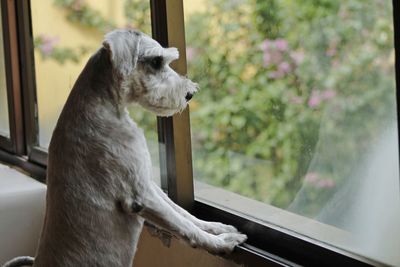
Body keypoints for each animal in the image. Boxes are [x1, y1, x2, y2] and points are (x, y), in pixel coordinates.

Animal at [2, 29, 247, 267]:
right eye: (156, 61)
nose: (190, 93)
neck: (106, 107)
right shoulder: (140, 195)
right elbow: (182, 225)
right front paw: (221, 243)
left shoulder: (146, 181)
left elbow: (181, 211)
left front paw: (218, 227)